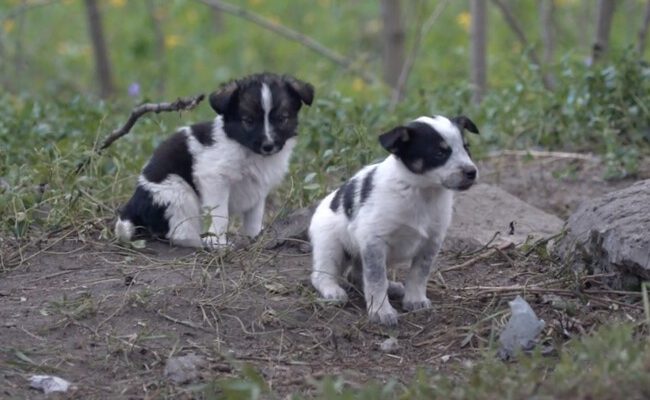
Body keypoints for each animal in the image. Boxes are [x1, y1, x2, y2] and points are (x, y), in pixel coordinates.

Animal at [114, 72, 314, 247]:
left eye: (282, 118)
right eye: (248, 121)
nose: (268, 145)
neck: (245, 148)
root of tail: (134, 203)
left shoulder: (258, 188)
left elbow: (254, 217)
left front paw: (255, 237)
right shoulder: (214, 178)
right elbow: (221, 215)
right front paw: (218, 242)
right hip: (178, 194)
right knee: (179, 233)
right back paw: (203, 243)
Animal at [306, 115, 478, 324]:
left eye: (467, 148)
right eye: (439, 153)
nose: (472, 172)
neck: (421, 192)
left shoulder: (431, 242)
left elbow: (418, 275)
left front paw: (415, 300)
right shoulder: (374, 241)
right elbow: (376, 280)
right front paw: (381, 311)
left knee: (356, 275)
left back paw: (393, 287)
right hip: (331, 247)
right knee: (321, 275)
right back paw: (333, 291)